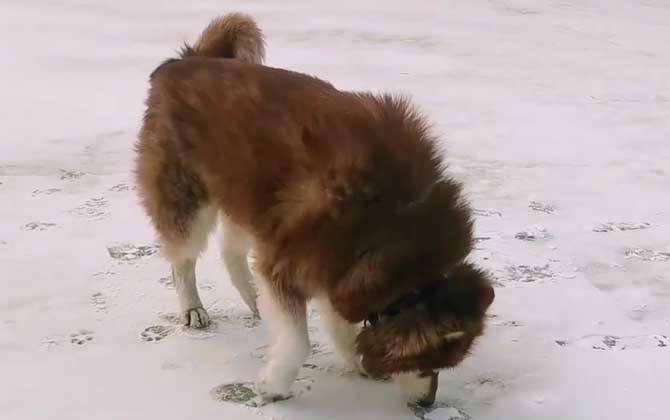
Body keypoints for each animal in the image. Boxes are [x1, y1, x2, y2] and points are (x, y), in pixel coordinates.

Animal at [135, 12, 494, 406]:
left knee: (231, 249)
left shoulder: (337, 265)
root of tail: (187, 59)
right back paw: (193, 308)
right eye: (427, 364)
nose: (427, 405)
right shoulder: (294, 260)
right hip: (188, 198)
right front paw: (273, 386)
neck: (395, 222)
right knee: (183, 259)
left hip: (246, 194)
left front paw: (355, 358)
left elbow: (342, 319)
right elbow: (298, 342)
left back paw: (252, 297)